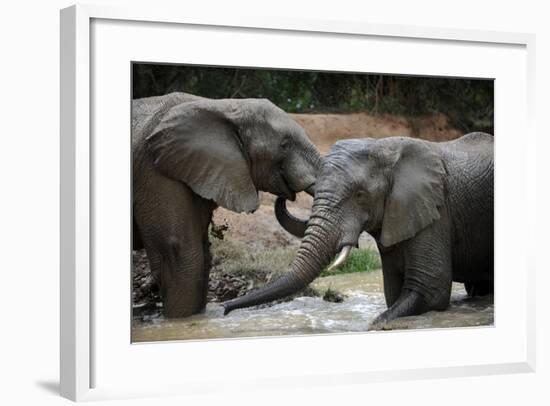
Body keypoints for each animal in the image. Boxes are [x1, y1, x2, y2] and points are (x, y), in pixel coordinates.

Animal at [134, 92, 324, 318]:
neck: (223, 106)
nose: (224, 309)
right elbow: (180, 252)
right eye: (285, 145)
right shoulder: (155, 171)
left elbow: (203, 255)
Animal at [224, 132, 496, 328]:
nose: (225, 308)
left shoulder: (436, 211)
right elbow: (394, 291)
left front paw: (375, 323)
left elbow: (430, 289)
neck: (385, 148)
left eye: (360, 195)